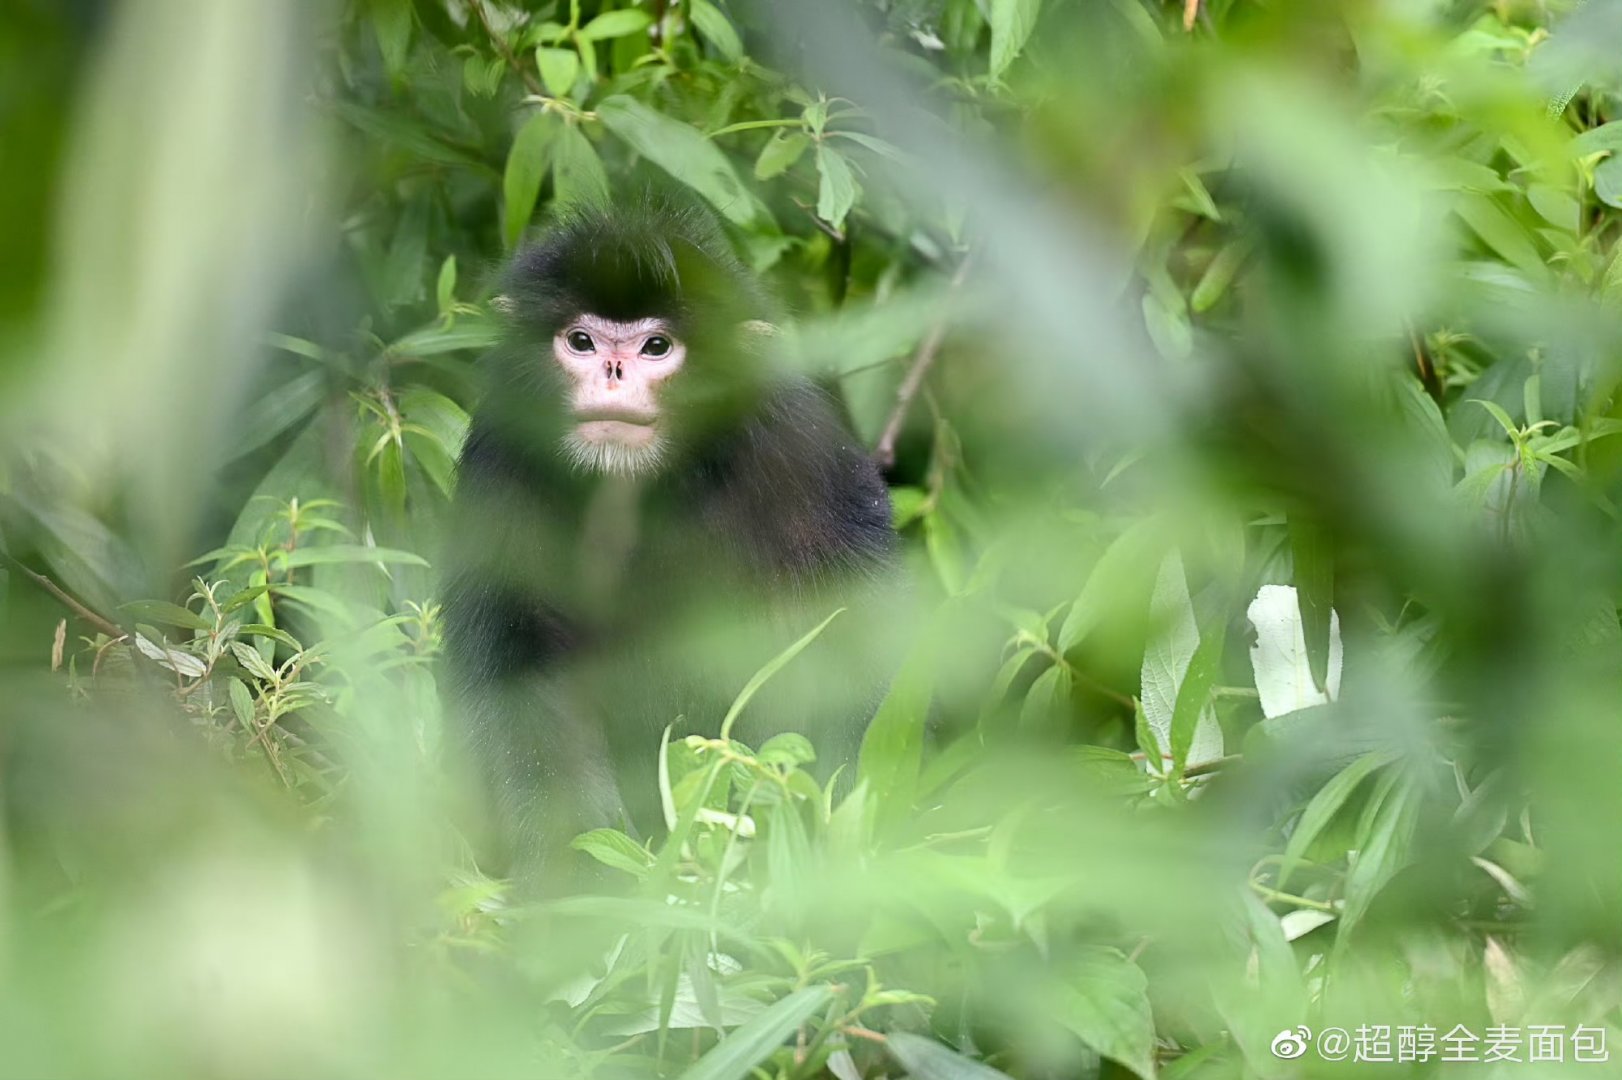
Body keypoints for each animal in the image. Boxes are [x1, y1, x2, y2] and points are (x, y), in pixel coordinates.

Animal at [440, 195, 898, 883]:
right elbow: (520, 657)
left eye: (656, 346)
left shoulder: (801, 444)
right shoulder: (504, 447)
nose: (612, 371)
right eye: (581, 341)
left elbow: (849, 638)